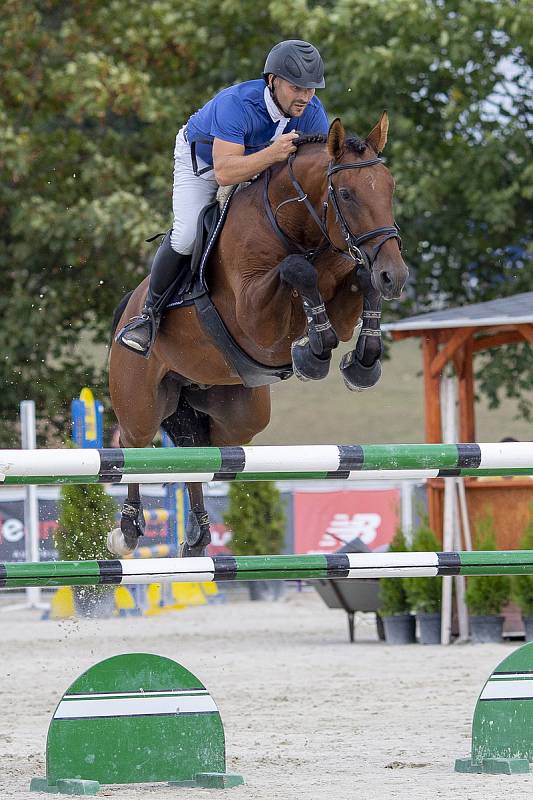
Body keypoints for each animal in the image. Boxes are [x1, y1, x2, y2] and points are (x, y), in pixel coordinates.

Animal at [107, 114, 408, 556]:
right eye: (347, 194)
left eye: (389, 188)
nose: (396, 275)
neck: (299, 229)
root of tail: (128, 306)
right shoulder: (253, 317)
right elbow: (297, 269)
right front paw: (313, 354)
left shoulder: (342, 297)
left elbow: (360, 278)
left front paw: (360, 363)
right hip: (141, 402)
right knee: (134, 446)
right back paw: (128, 529)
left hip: (238, 416)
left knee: (200, 451)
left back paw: (197, 536)